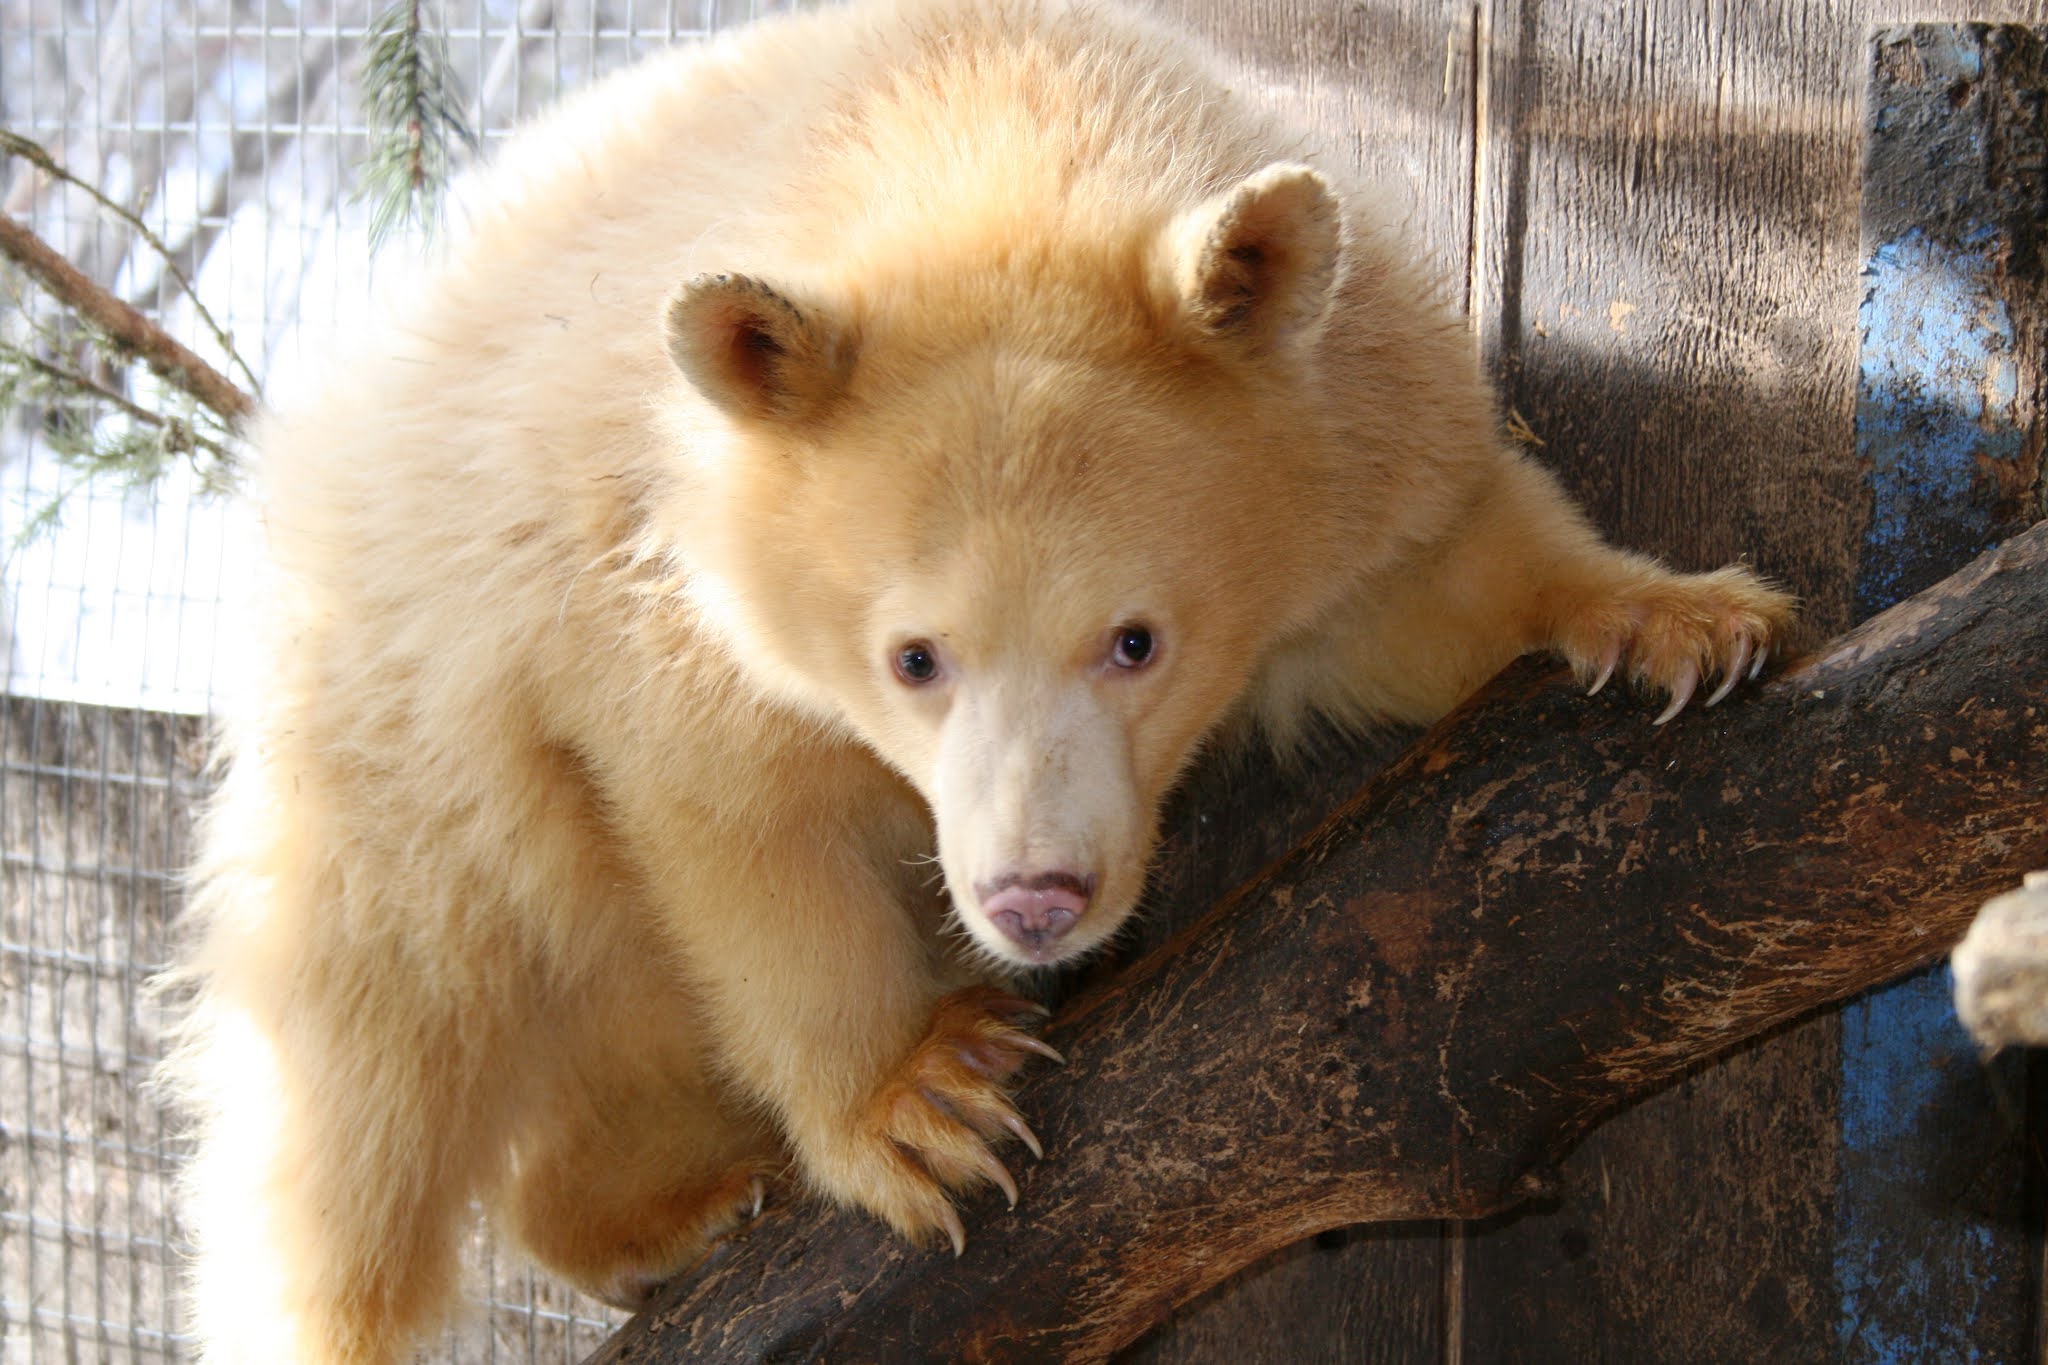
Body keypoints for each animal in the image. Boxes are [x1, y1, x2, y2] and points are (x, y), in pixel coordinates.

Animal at [161, 0, 1795, 1359]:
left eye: (1137, 639)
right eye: (914, 656)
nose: (1032, 902)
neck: (977, 123)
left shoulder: (1348, 426)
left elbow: (1423, 582)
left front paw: (1682, 623)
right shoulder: (650, 571)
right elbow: (734, 812)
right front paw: (922, 1107)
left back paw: (665, 1200)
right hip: (391, 764)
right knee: (351, 1126)